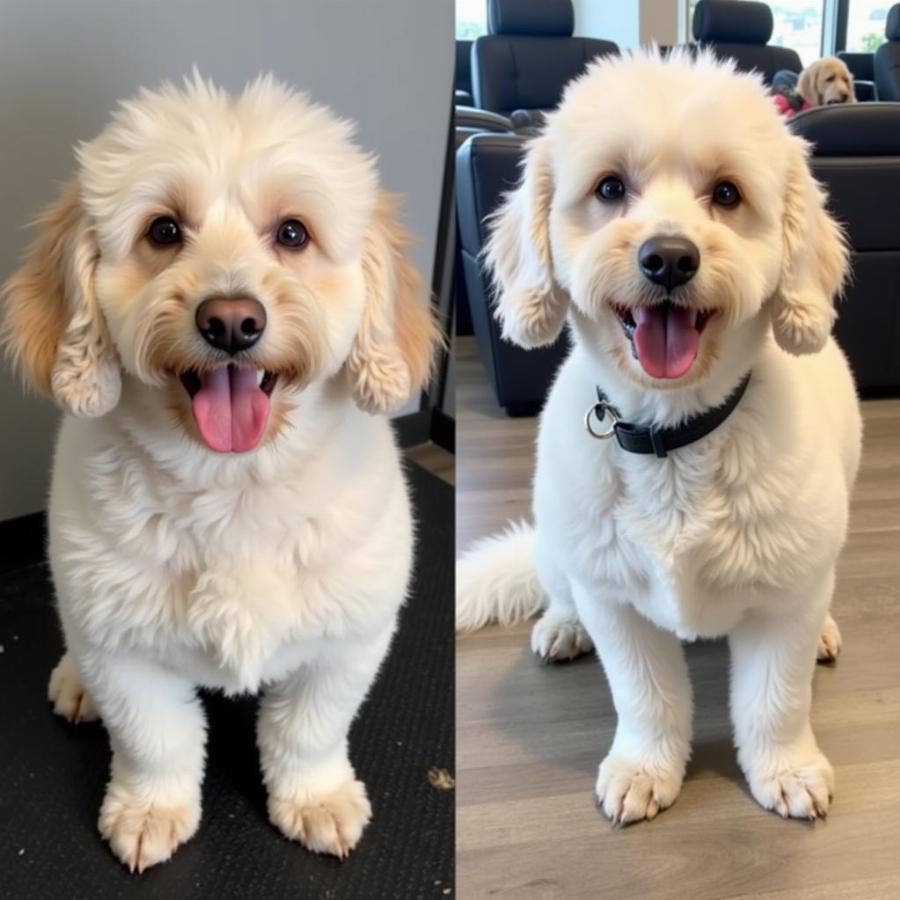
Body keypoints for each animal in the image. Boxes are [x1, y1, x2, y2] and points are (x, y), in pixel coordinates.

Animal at [2, 75, 440, 872]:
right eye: (164, 231)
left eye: (293, 233)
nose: (232, 320)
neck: (233, 489)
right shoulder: (121, 645)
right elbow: (154, 740)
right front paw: (150, 808)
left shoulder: (349, 636)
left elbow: (309, 730)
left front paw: (315, 797)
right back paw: (76, 685)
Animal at [460, 47, 860, 824]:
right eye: (610, 187)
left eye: (727, 194)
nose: (669, 257)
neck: (675, 439)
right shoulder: (614, 600)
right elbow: (645, 696)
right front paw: (646, 766)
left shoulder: (786, 596)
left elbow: (775, 699)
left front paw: (786, 767)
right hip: (560, 544)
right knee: (558, 588)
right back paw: (562, 626)